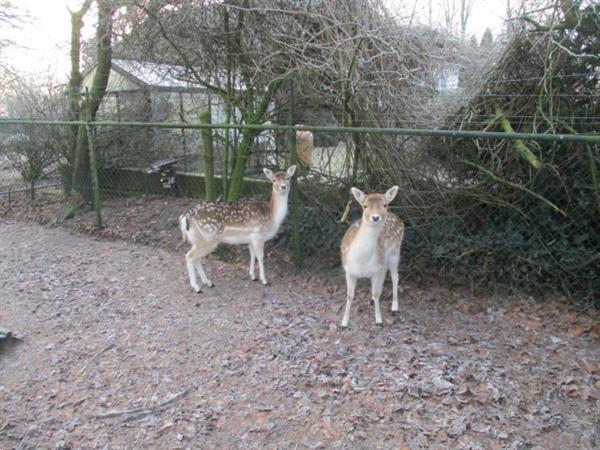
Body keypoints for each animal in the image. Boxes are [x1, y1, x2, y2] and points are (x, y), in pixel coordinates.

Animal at [180, 164, 298, 292]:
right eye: (274, 180)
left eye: (288, 178)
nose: (283, 186)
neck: (272, 217)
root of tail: (185, 217)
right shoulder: (258, 235)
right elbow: (261, 256)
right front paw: (264, 280)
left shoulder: (251, 238)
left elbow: (252, 255)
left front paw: (252, 276)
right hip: (207, 239)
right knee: (189, 257)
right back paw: (196, 287)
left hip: (197, 239)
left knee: (197, 259)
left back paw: (208, 282)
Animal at [340, 185, 406, 326]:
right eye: (364, 206)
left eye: (385, 204)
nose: (375, 217)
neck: (361, 261)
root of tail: (398, 219)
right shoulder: (349, 271)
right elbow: (349, 295)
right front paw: (344, 322)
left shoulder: (376, 270)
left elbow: (376, 293)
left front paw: (379, 320)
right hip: (385, 259)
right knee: (385, 273)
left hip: (395, 251)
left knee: (395, 277)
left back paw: (394, 307)